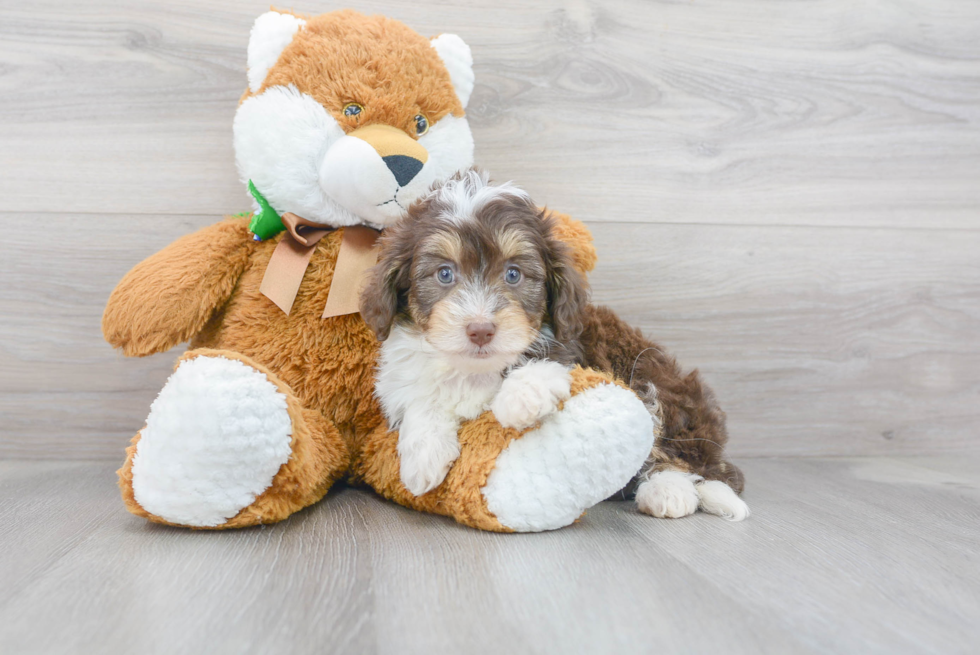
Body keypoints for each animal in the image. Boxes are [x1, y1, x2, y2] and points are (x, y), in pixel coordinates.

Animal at [360, 170, 752, 524]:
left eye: (513, 274)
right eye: (444, 274)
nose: (481, 330)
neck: (474, 368)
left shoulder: (574, 349)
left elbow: (544, 365)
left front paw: (523, 398)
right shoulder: (400, 378)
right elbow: (419, 397)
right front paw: (422, 459)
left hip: (656, 382)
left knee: (683, 457)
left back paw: (668, 492)